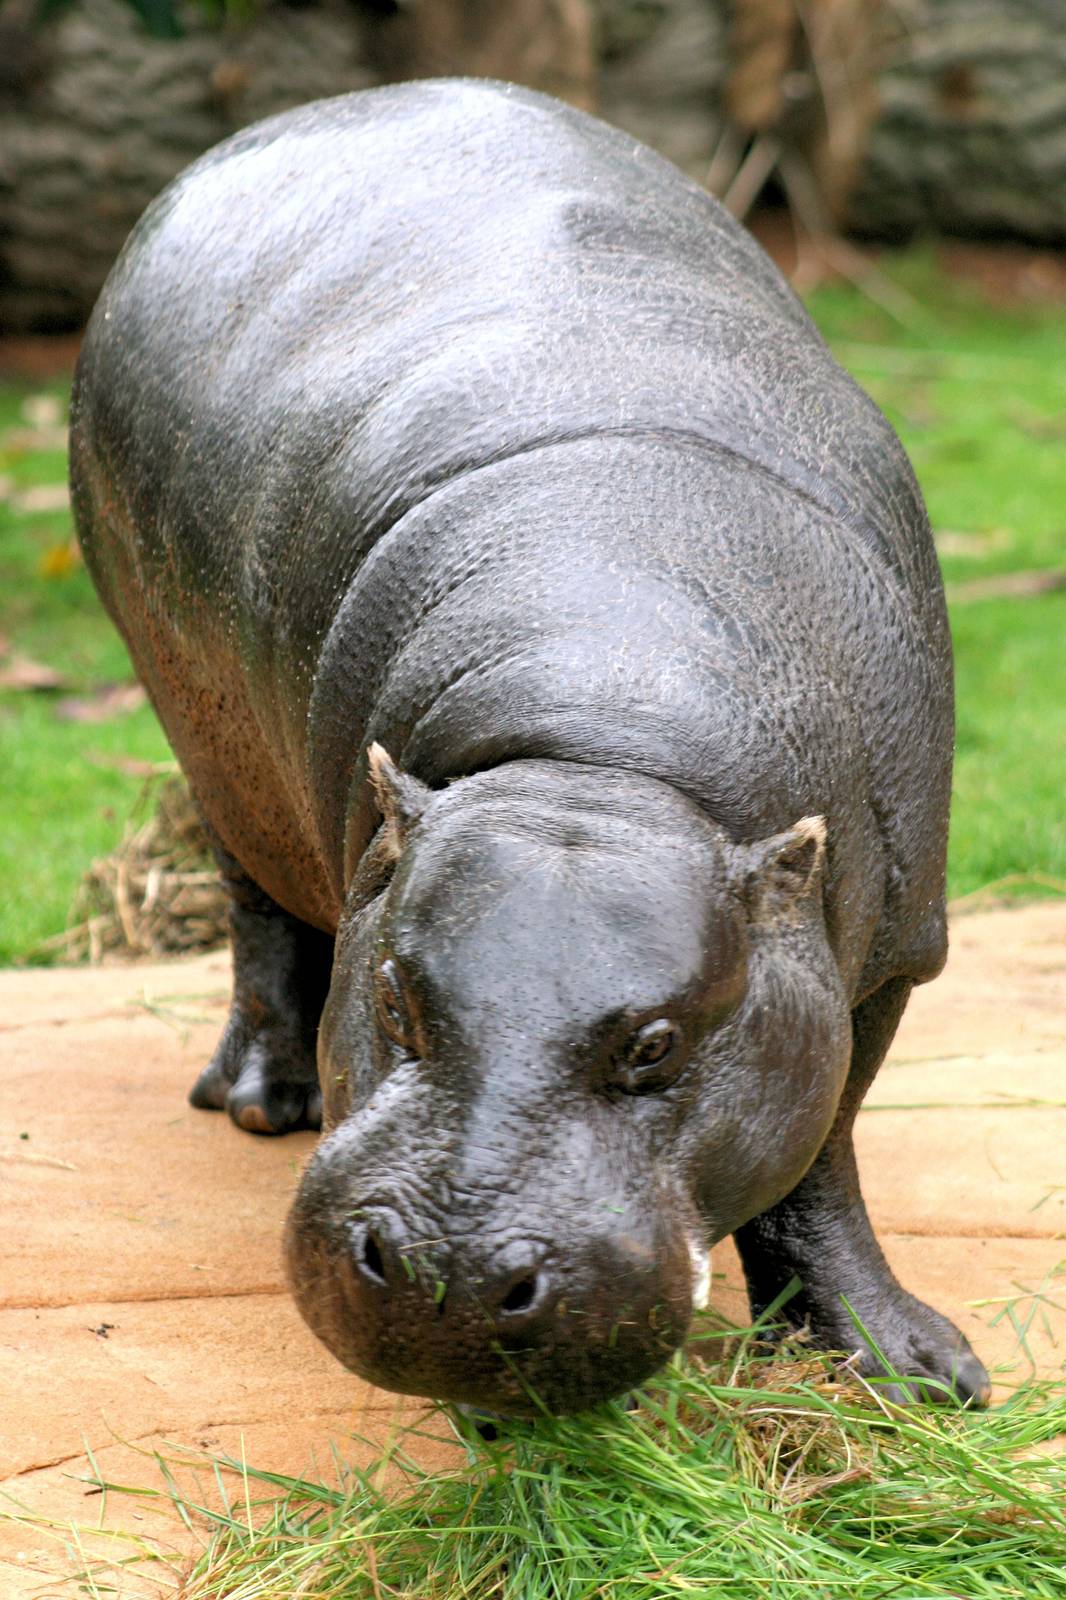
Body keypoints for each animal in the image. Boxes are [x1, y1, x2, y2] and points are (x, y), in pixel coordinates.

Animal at [70, 79, 989, 1417]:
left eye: (655, 1045)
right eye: (394, 995)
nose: (447, 1275)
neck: (606, 741)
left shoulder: (879, 956)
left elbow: (823, 1151)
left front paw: (910, 1373)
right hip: (202, 734)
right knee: (256, 908)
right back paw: (261, 1102)